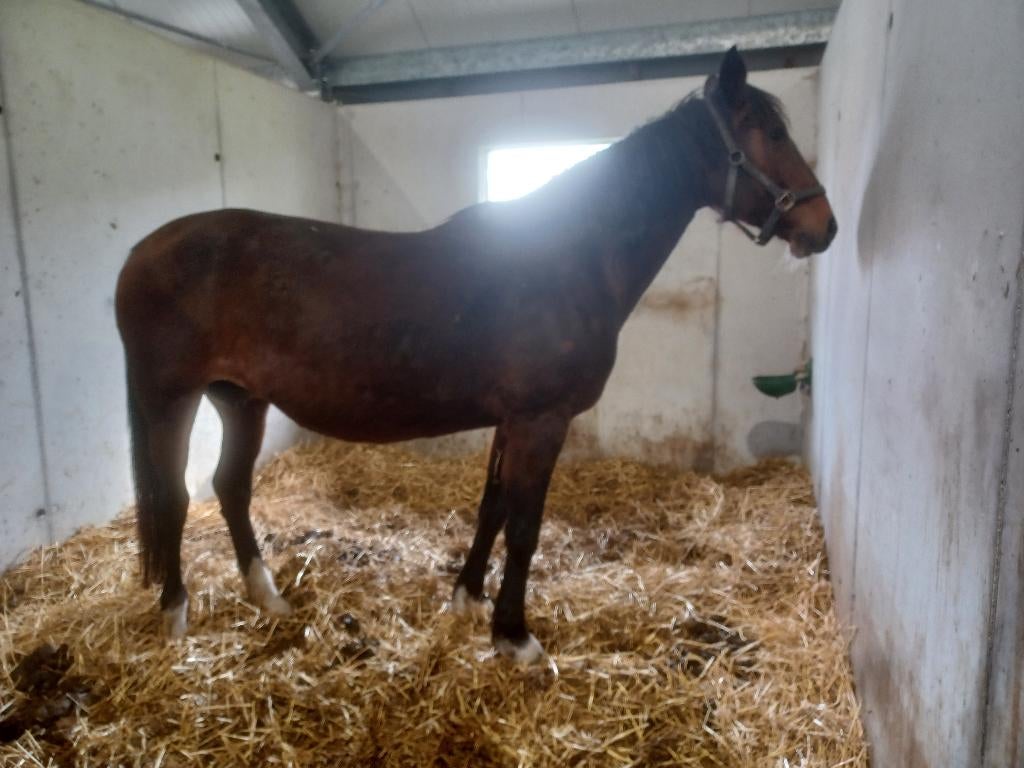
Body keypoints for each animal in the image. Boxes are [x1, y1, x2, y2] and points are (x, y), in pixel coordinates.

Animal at [115, 47, 835, 663]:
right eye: (765, 131)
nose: (822, 226)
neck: (567, 257)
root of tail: (142, 252)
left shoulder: (513, 419)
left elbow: (492, 507)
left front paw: (468, 598)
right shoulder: (542, 419)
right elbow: (525, 527)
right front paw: (515, 637)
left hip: (242, 399)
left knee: (230, 487)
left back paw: (267, 597)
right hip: (170, 398)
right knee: (175, 496)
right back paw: (175, 612)